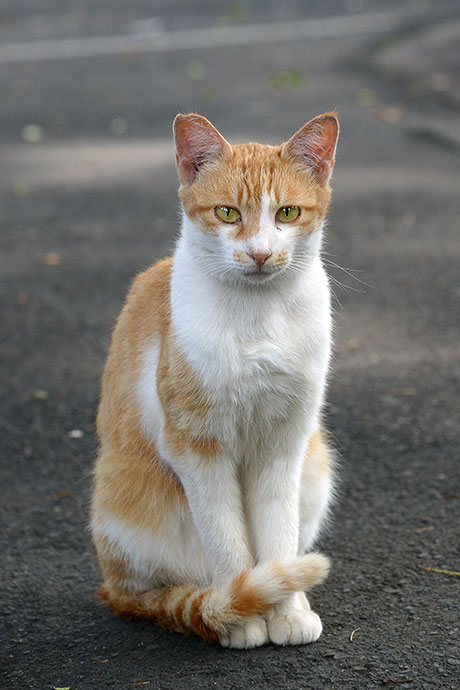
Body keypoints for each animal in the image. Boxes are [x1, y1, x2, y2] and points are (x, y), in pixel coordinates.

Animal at [91, 110, 340, 648]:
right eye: (227, 214)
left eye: (287, 213)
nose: (261, 253)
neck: (259, 316)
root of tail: (110, 587)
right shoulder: (197, 449)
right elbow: (228, 541)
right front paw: (239, 613)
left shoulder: (284, 444)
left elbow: (278, 536)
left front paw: (286, 610)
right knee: (159, 589)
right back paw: (205, 602)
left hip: (316, 467)